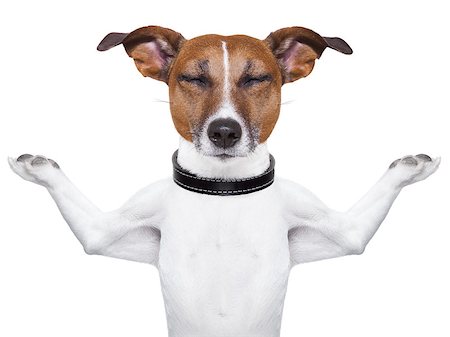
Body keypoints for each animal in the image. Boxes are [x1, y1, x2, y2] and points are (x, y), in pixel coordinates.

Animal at [8, 26, 442, 336]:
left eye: (256, 80)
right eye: (193, 79)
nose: (224, 131)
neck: (223, 191)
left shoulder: (344, 233)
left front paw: (413, 165)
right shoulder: (103, 233)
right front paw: (34, 165)